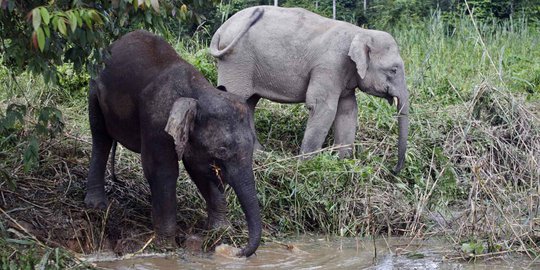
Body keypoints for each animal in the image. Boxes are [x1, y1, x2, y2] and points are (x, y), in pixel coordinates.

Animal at [84, 30, 262, 258]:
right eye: (221, 151)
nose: (238, 251)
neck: (198, 92)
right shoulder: (158, 122)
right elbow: (162, 171)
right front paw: (165, 247)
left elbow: (200, 170)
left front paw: (221, 231)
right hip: (94, 89)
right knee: (100, 136)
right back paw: (96, 206)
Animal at [211, 6, 410, 175]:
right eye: (393, 70)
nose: (393, 170)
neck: (360, 32)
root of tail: (221, 29)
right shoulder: (329, 66)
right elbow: (322, 107)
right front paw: (306, 165)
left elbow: (348, 110)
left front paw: (343, 163)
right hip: (237, 61)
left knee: (250, 102)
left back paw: (260, 152)